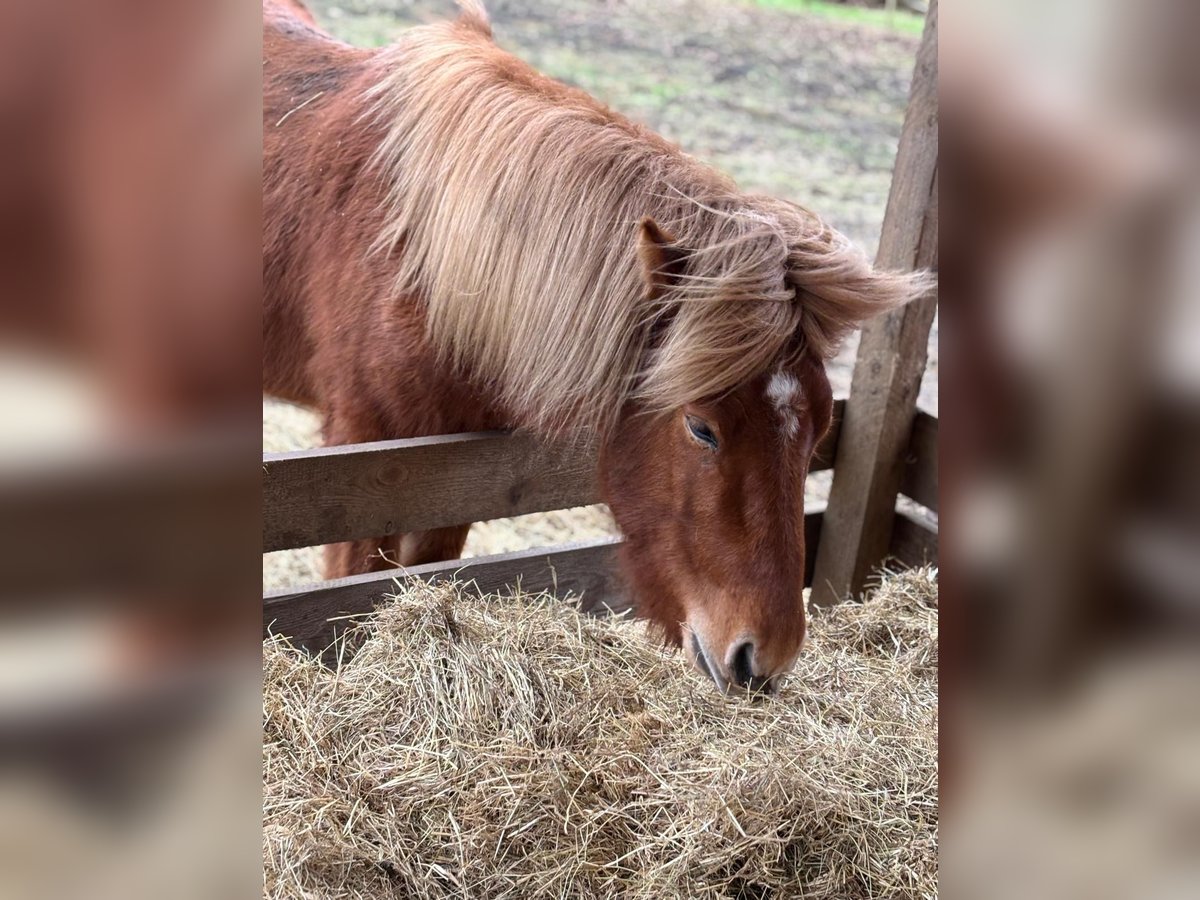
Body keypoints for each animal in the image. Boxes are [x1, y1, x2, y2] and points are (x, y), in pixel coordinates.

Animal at [262, 0, 921, 696]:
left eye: (821, 427)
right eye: (701, 428)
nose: (763, 660)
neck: (424, 263)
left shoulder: (452, 476)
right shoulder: (363, 465)